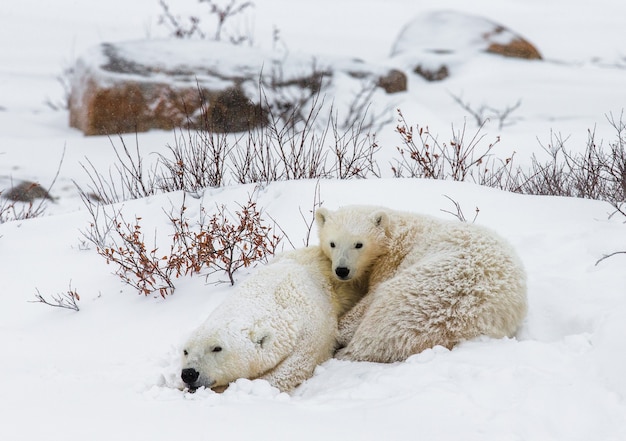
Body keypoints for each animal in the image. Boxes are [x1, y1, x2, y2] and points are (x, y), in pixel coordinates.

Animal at [314, 205, 524, 362]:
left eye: (358, 244)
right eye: (332, 243)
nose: (342, 270)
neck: (397, 233)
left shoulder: (392, 262)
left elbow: (371, 295)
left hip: (422, 289)